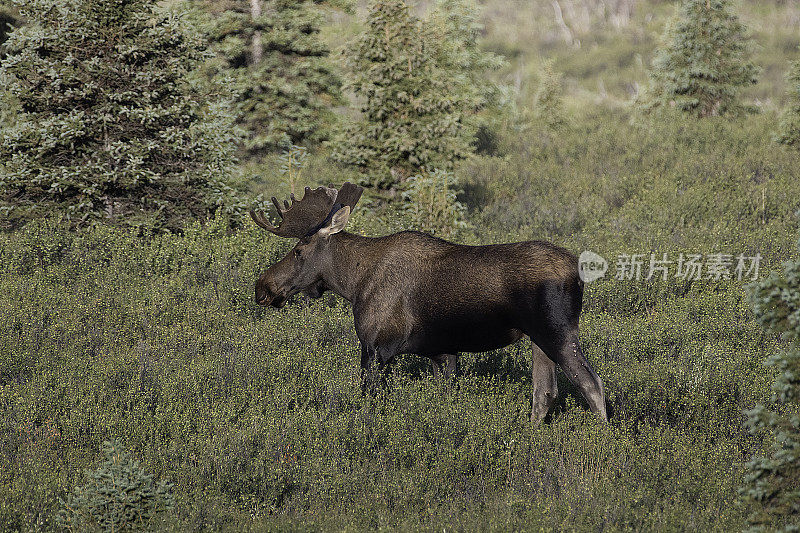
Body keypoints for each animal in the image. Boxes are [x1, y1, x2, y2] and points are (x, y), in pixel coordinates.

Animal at [250, 181, 608, 422]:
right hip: (538, 339)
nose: (262, 287)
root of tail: (577, 272)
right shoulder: (441, 352)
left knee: (592, 385)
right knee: (544, 392)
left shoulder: (375, 348)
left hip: (557, 333)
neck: (354, 284)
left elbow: (369, 402)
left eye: (299, 250)